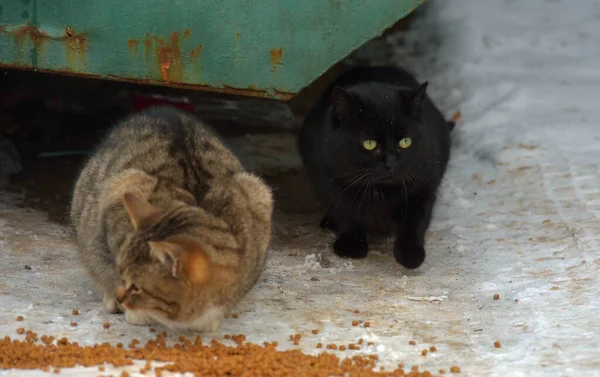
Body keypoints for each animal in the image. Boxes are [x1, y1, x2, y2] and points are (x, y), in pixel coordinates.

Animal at [298, 66, 452, 268]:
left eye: (405, 142)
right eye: (370, 144)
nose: (391, 163)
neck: (380, 191)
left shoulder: (423, 185)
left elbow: (415, 220)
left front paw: (411, 253)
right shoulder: (329, 182)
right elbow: (345, 212)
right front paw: (351, 245)